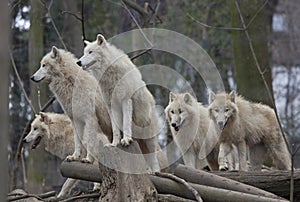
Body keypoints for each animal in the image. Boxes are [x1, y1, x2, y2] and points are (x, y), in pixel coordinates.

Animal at [77, 34, 162, 172]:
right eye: (84, 52)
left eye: (91, 52)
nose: (78, 62)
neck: (109, 74)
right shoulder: (111, 106)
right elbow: (116, 128)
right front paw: (114, 144)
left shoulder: (125, 101)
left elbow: (126, 123)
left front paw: (126, 140)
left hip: (149, 138)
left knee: (154, 159)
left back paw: (155, 172)